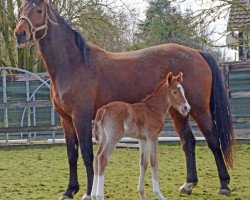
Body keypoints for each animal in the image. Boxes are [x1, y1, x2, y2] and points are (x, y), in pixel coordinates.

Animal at [91, 72, 190, 200]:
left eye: (182, 91)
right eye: (174, 92)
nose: (186, 108)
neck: (153, 109)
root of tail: (104, 108)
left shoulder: (142, 139)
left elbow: (143, 162)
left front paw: (141, 193)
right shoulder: (153, 136)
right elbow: (154, 161)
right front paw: (159, 194)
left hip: (104, 138)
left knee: (96, 158)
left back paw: (93, 195)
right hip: (114, 137)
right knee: (102, 158)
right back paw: (99, 195)